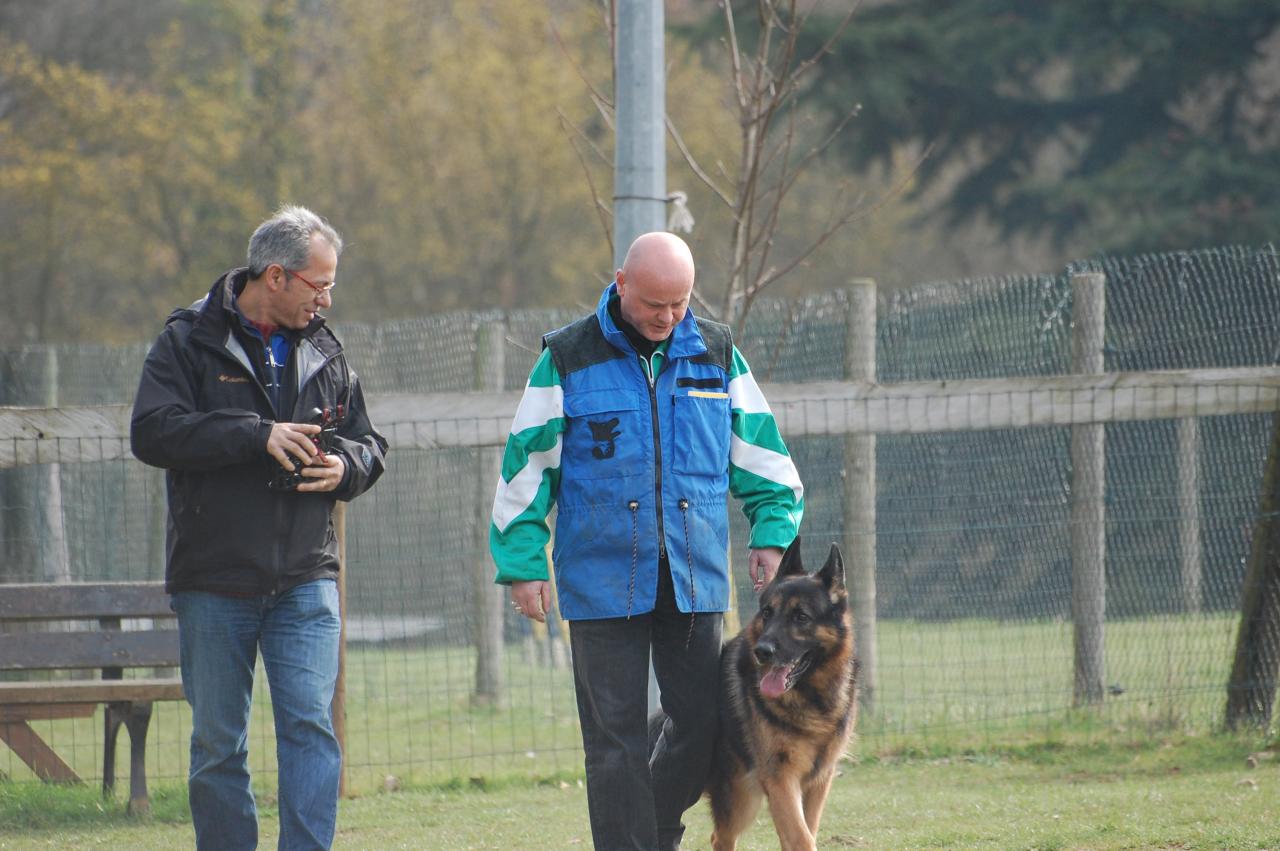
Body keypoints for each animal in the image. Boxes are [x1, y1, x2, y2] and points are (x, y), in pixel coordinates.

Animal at [706, 537, 855, 849]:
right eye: (767, 613)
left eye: (801, 617)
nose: (761, 651)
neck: (811, 698)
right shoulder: (779, 779)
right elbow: (801, 838)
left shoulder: (818, 782)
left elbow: (804, 831)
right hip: (740, 799)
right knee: (721, 836)